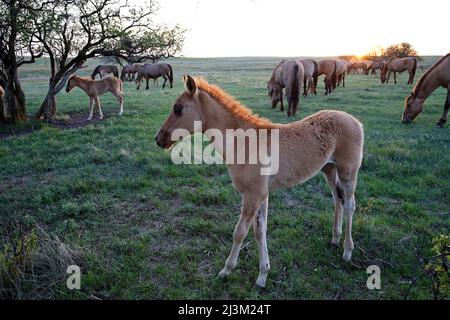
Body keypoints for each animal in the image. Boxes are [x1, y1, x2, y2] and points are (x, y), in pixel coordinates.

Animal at [156, 75, 364, 288]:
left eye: (178, 108)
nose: (159, 138)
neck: (243, 143)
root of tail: (354, 120)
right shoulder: (262, 194)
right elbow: (259, 231)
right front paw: (263, 275)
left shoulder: (253, 194)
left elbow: (240, 232)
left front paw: (226, 270)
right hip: (329, 169)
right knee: (338, 199)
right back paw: (335, 238)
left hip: (348, 171)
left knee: (349, 204)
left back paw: (347, 251)